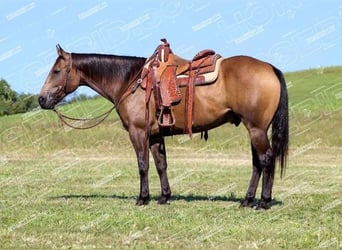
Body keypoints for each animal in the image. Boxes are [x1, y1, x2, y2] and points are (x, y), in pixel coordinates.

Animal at [38, 40, 288, 210]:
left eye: (56, 71)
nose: (41, 99)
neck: (130, 80)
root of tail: (269, 68)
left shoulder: (138, 133)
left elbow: (143, 165)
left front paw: (142, 198)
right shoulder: (156, 135)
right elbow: (161, 165)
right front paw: (164, 196)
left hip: (256, 129)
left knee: (266, 159)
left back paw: (263, 202)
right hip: (255, 129)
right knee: (257, 163)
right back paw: (247, 200)